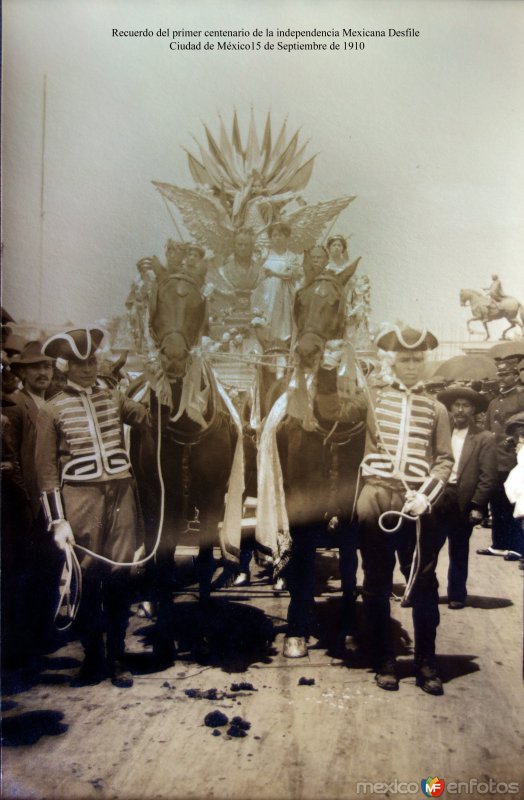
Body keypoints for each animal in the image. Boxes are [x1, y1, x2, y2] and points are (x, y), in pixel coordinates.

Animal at [130, 270, 238, 664]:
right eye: (158, 300)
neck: (186, 426)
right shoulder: (159, 494)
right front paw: (164, 634)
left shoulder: (212, 495)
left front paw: (204, 631)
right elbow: (162, 557)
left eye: (196, 303)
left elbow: (205, 560)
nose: (174, 357)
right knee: (152, 549)